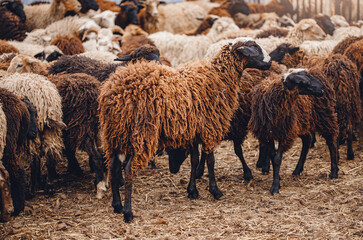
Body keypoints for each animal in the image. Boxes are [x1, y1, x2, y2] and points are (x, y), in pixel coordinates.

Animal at [98, 39, 272, 221]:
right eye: (254, 48)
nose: (270, 62)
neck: (219, 78)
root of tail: (114, 93)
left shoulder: (194, 132)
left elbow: (195, 160)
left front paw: (192, 190)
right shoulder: (210, 128)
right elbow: (210, 160)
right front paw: (215, 190)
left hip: (115, 135)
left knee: (113, 167)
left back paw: (116, 205)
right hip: (142, 135)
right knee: (128, 169)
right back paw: (127, 211)